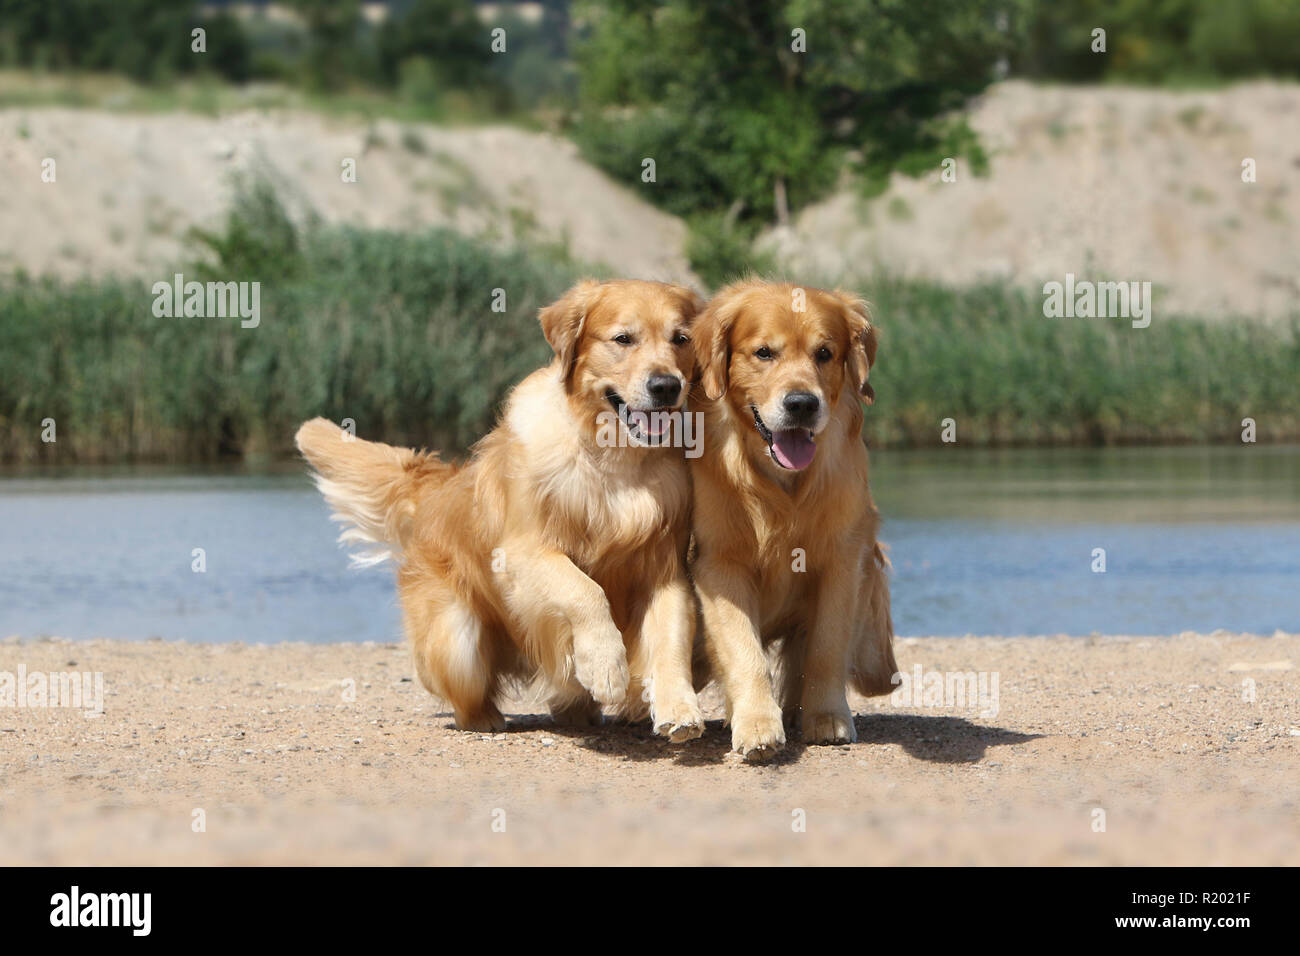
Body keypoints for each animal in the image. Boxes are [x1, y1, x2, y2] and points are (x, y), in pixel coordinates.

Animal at [691, 278, 894, 764]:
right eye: (764, 352)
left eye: (825, 353)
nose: (802, 404)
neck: (781, 482)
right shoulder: (720, 563)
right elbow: (744, 648)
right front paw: (757, 725)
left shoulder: (843, 560)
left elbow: (827, 645)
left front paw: (826, 717)